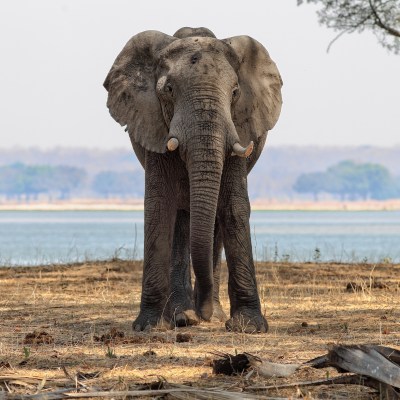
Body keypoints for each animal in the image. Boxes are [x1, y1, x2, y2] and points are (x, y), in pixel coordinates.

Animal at [104, 27, 282, 332]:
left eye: (235, 92)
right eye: (168, 90)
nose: (205, 313)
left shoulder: (239, 126)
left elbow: (233, 206)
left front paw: (248, 327)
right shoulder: (154, 126)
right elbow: (159, 207)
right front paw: (149, 327)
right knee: (181, 220)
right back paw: (183, 316)